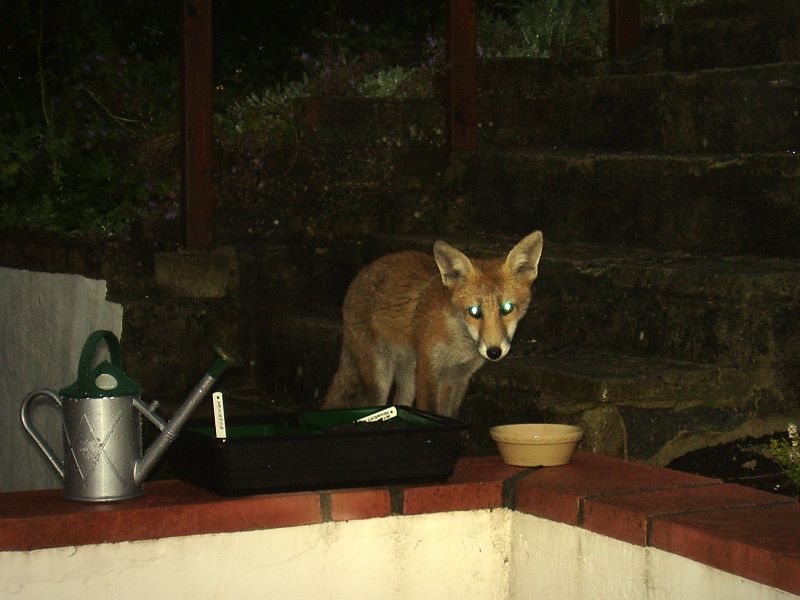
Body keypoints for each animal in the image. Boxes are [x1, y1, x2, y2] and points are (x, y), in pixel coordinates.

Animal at [324, 232, 544, 420]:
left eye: (507, 308)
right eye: (474, 312)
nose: (494, 352)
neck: (458, 345)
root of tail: (360, 275)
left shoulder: (459, 376)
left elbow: (449, 415)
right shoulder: (429, 371)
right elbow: (430, 410)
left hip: (408, 377)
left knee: (399, 403)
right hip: (382, 376)